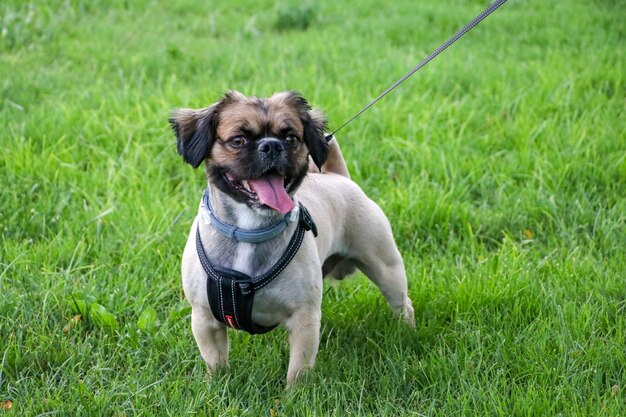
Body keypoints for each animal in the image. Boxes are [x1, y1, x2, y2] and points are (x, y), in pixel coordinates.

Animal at [169, 91, 414, 384]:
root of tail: (336, 176)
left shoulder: (304, 320)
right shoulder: (205, 319)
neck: (250, 230)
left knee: (402, 304)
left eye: (291, 139)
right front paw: (217, 385)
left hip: (387, 270)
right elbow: (216, 362)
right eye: (238, 140)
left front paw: (294, 393)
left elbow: (298, 370)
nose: (272, 146)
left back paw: (406, 333)